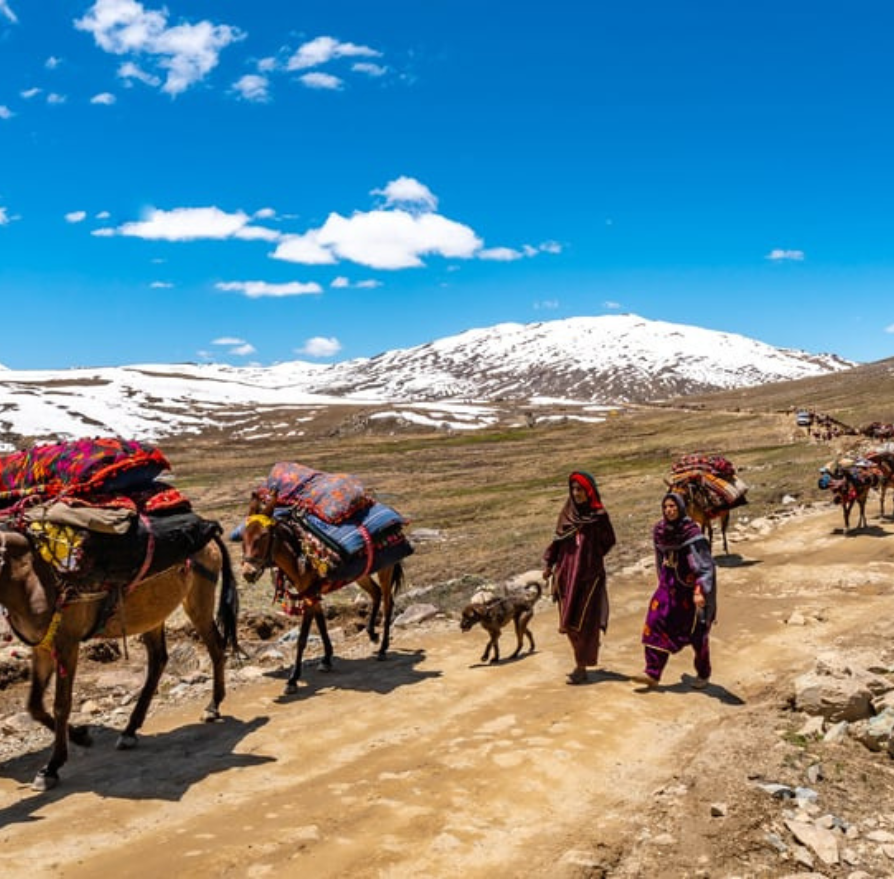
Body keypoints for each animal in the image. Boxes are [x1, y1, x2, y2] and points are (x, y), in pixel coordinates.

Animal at [0, 524, 238, 796]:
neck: (29, 579)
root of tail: (210, 535)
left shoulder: (67, 645)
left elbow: (61, 705)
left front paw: (51, 767)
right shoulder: (42, 646)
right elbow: (34, 705)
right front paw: (80, 736)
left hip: (198, 601)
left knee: (216, 647)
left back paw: (212, 706)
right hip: (152, 613)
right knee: (159, 659)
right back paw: (130, 730)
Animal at [240, 496, 404, 696]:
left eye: (263, 535)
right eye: (243, 536)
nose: (248, 573)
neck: (298, 554)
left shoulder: (310, 596)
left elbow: (302, 639)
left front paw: (293, 679)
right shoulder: (311, 595)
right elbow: (322, 625)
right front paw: (326, 659)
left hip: (386, 568)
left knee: (388, 603)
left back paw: (382, 649)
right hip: (362, 573)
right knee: (376, 593)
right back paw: (372, 633)